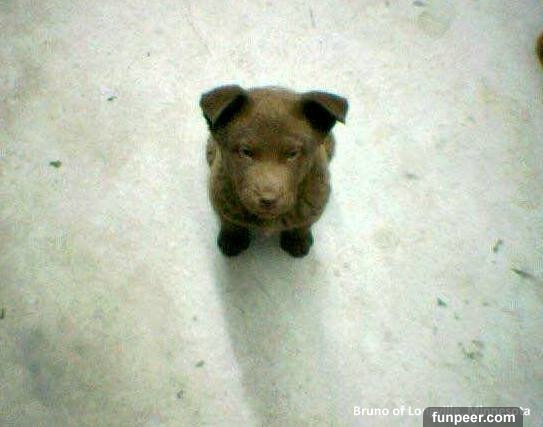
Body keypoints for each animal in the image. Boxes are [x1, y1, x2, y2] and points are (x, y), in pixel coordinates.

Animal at [200, 85, 348, 257]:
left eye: (292, 153)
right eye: (245, 152)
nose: (268, 200)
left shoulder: (317, 199)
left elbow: (303, 224)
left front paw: (298, 242)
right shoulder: (219, 192)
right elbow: (230, 222)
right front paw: (232, 241)